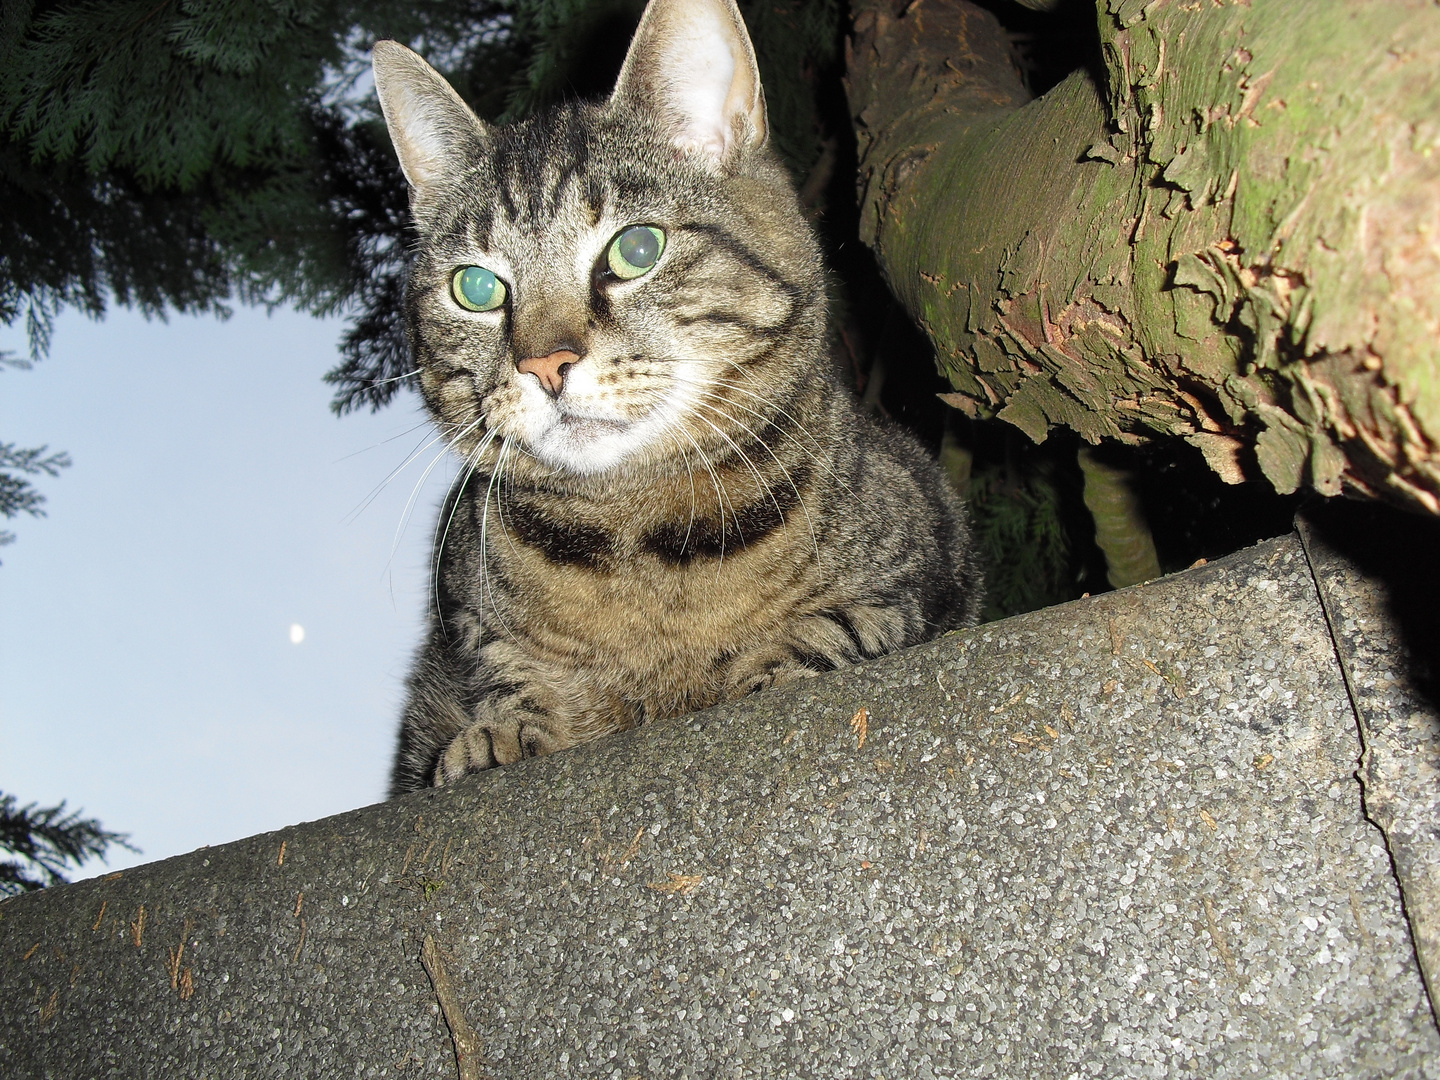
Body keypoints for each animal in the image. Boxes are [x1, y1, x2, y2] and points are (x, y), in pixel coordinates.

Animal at [374, 0, 979, 794]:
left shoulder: (925, 565)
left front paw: (771, 671)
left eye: (636, 250)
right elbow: (505, 674)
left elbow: (837, 626)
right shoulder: (464, 620)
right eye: (476, 288)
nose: (544, 363)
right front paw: (498, 735)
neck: (637, 531)